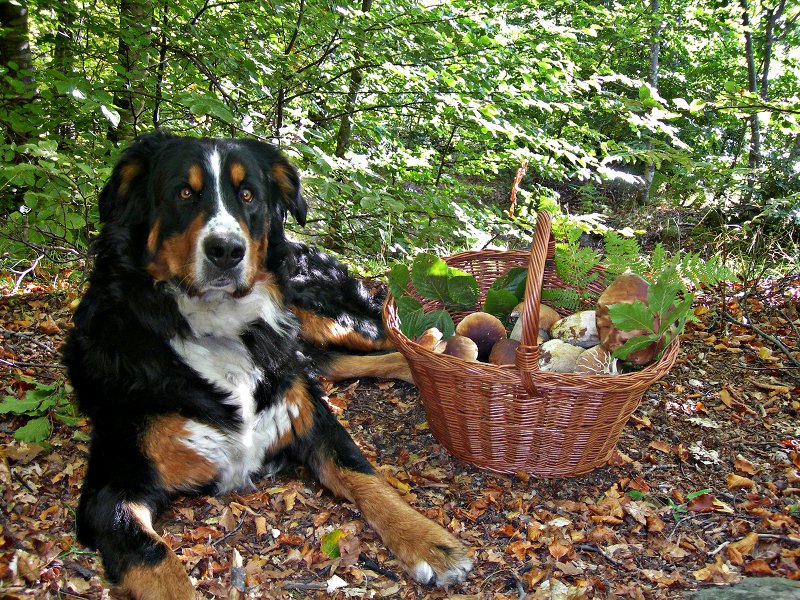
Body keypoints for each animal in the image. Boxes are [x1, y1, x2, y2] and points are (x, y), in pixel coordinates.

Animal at [64, 134, 476, 596]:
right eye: (183, 193)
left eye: (247, 195)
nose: (226, 251)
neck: (219, 328)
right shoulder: (112, 491)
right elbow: (156, 559)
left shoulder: (312, 418)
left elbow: (365, 474)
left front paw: (429, 541)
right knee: (343, 360)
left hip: (316, 310)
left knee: (388, 333)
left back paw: (445, 351)